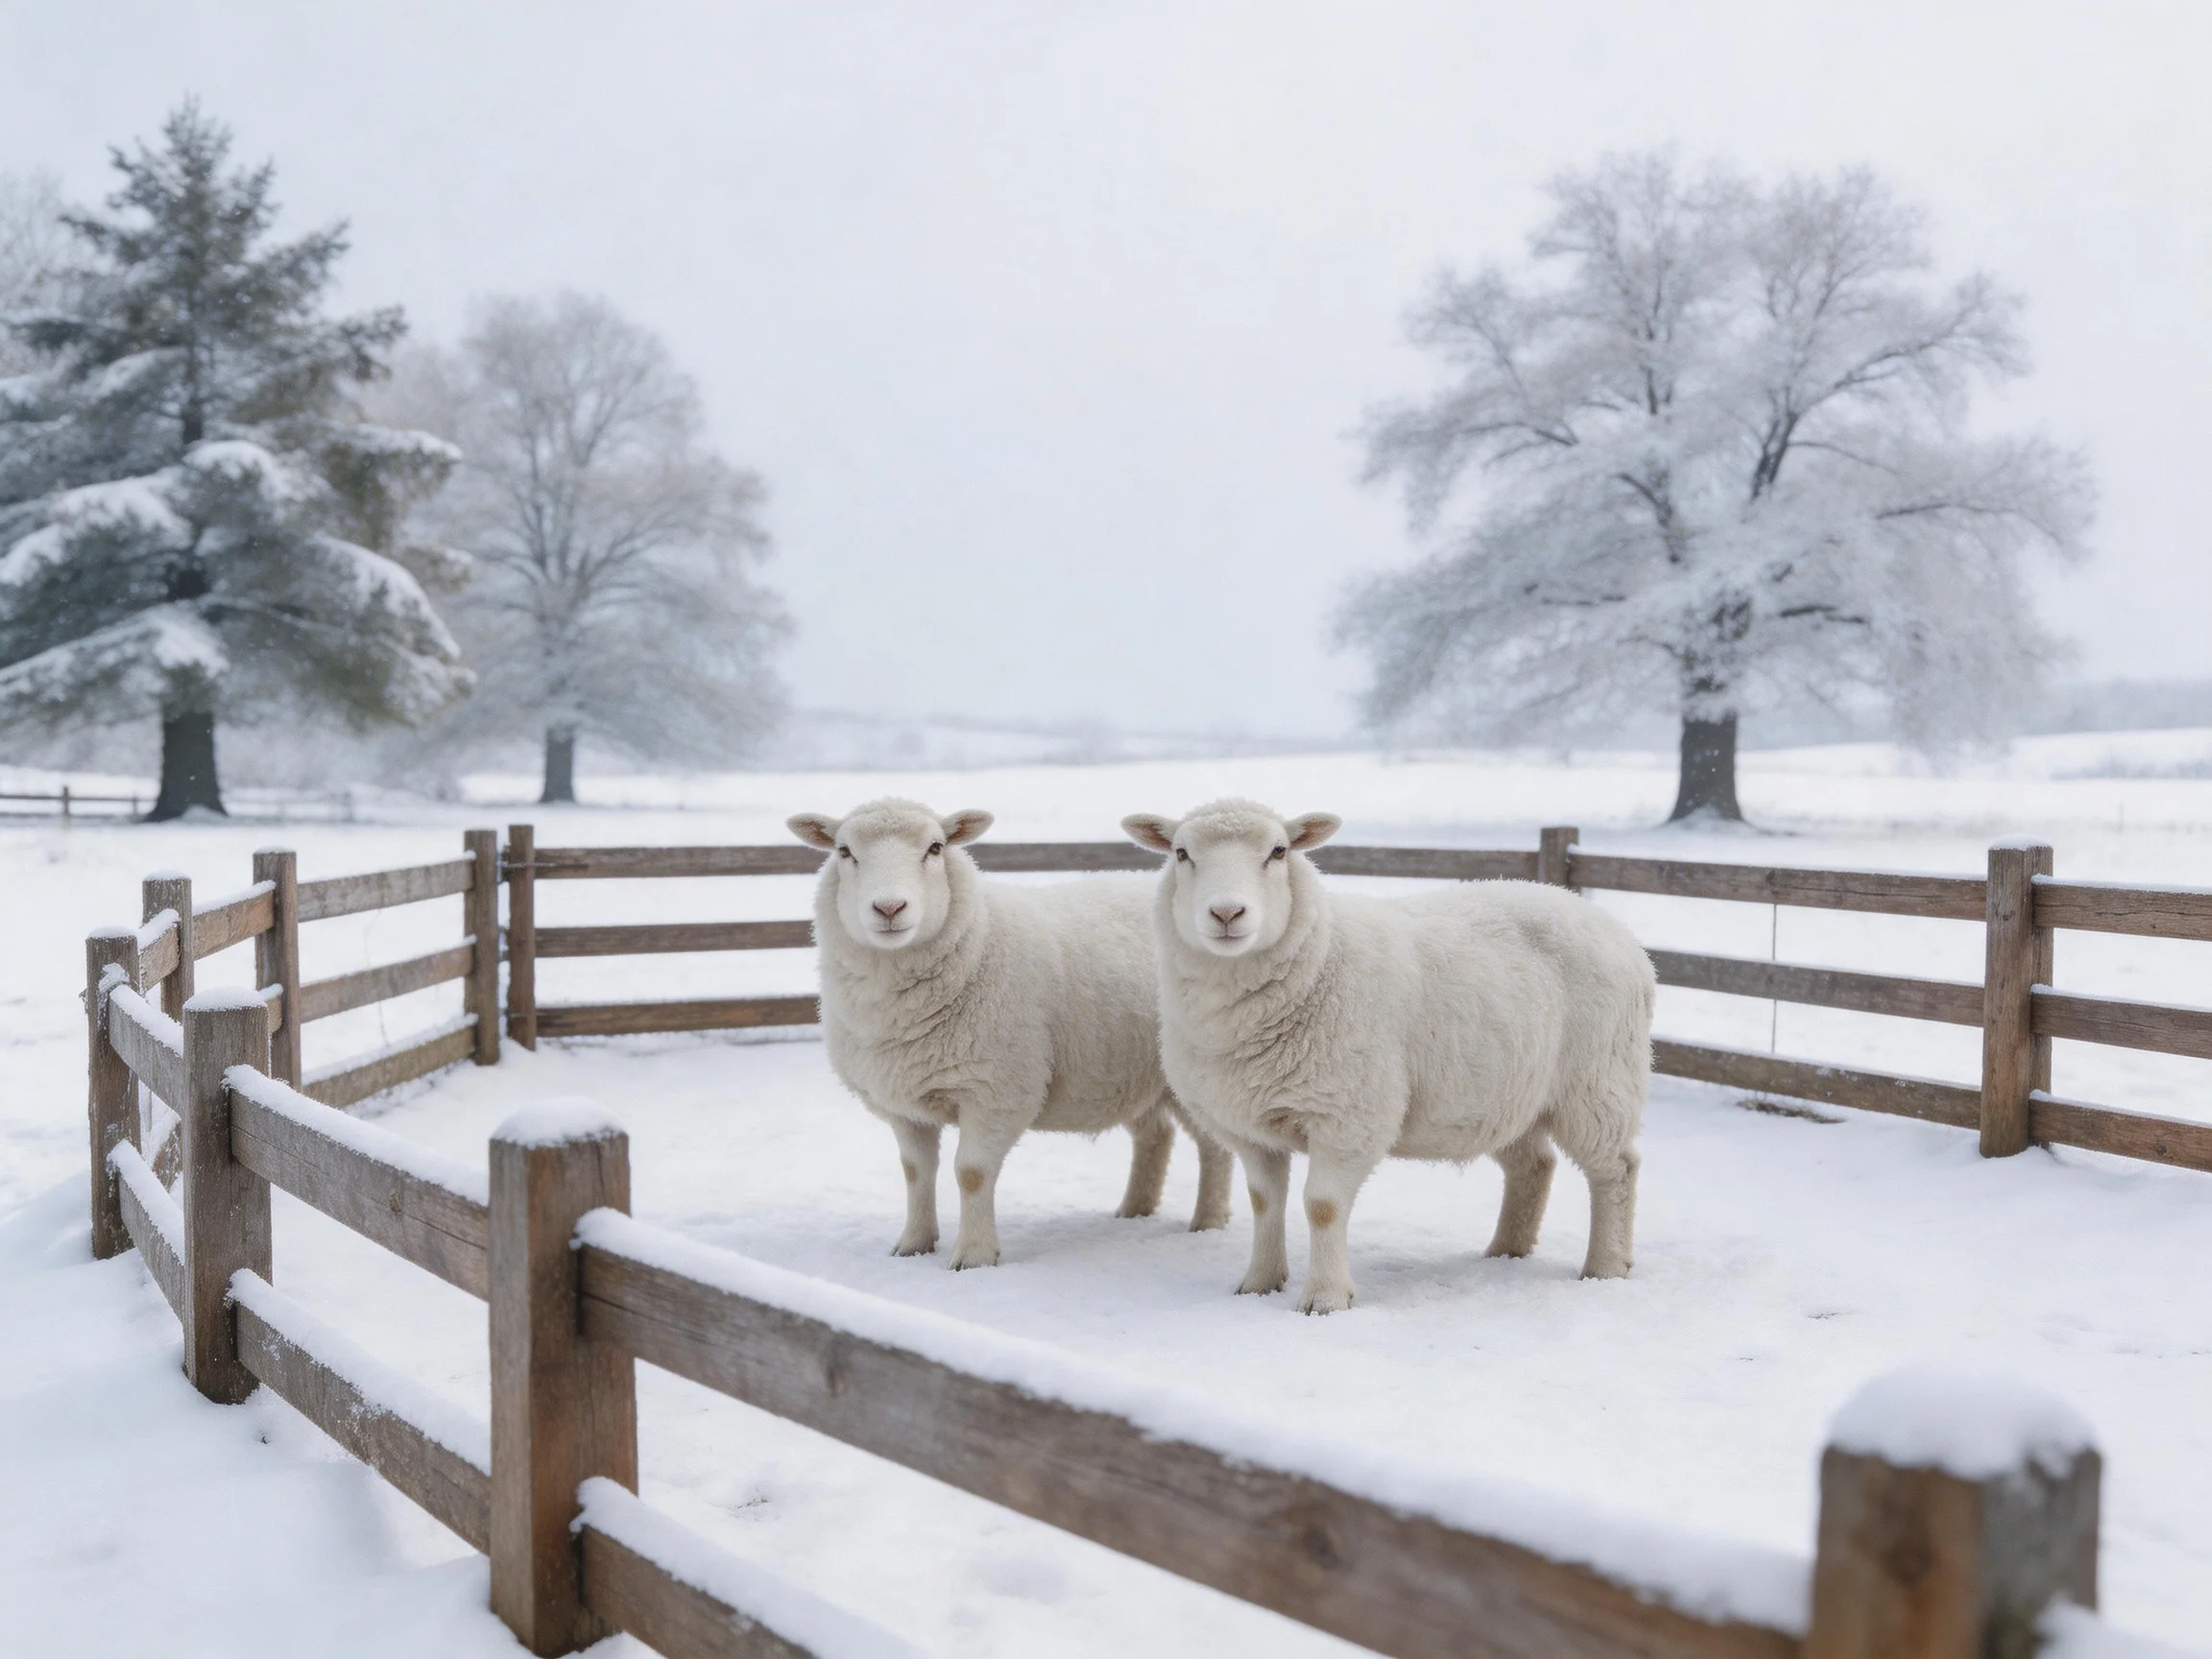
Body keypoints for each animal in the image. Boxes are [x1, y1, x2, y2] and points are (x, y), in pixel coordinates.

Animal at [789, 798, 1234, 1268]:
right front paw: (913, 1245)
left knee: (1213, 1147)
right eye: (844, 851)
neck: (978, 939)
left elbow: (971, 1172)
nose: (889, 908)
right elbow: (915, 1172)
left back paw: (1207, 1221)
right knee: (1155, 1136)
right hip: (1130, 1071)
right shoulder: (906, 1105)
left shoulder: (996, 1090)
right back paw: (1134, 1211)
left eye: (935, 847)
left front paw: (974, 1257)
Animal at [1120, 799, 1653, 1314]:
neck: (1319, 959)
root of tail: (1619, 932)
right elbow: (1263, 1203)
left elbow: (1322, 1206)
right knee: (1534, 1166)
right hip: (1506, 1094)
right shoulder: (1249, 1126)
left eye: (1278, 851)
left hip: (1598, 1083)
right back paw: (1506, 1252)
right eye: (1181, 853)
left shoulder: (1348, 1116)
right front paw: (1258, 1284)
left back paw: (1605, 1267)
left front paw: (1326, 1299)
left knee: (1616, 1169)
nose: (1228, 913)